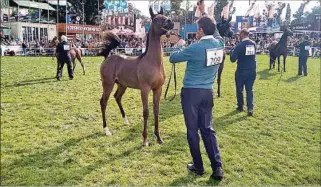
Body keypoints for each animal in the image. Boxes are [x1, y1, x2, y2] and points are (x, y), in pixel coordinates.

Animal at [99, 6, 174, 147]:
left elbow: (156, 111)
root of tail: (108, 57)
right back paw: (106, 130)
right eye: (156, 19)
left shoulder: (158, 89)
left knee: (117, 98)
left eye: (165, 16)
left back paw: (126, 121)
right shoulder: (144, 90)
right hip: (107, 85)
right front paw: (145, 140)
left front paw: (158, 138)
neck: (153, 62)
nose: (171, 22)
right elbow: (146, 112)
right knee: (103, 102)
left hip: (122, 85)